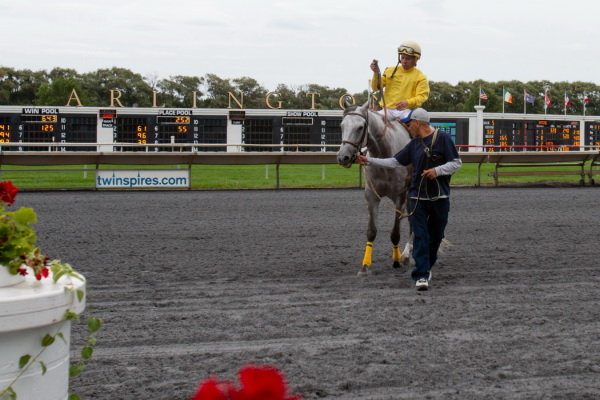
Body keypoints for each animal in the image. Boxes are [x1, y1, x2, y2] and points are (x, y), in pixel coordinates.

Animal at [337, 101, 413, 275]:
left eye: (360, 127)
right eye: (342, 126)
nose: (343, 157)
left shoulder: (400, 197)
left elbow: (395, 233)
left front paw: (396, 261)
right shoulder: (371, 196)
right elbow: (371, 231)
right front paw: (365, 266)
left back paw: (407, 255)